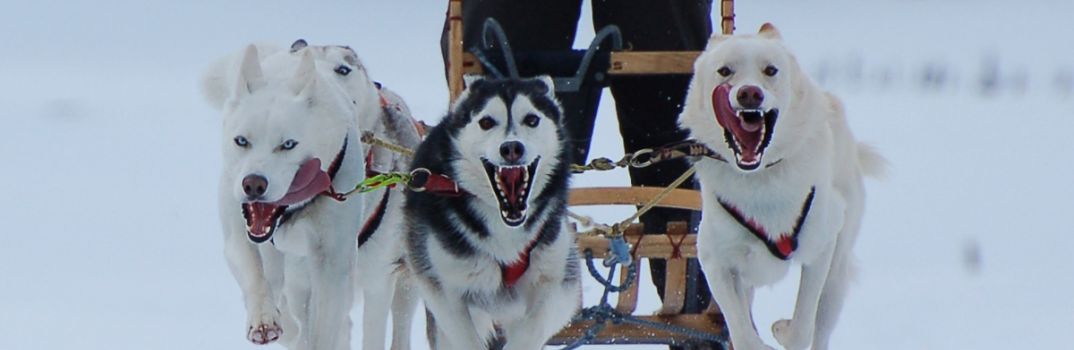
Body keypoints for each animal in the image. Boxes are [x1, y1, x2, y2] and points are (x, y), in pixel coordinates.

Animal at [201, 41, 418, 350]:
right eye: (241, 141)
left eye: (288, 144)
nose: (254, 184)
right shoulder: (241, 236)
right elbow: (256, 275)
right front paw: (264, 318)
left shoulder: (337, 262)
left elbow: (328, 327)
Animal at [405, 75, 584, 347]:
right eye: (486, 122)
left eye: (532, 119)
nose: (511, 148)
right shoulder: (444, 291)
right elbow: (465, 338)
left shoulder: (558, 281)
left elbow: (533, 329)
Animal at [678, 23, 880, 347]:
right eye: (725, 71)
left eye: (770, 70)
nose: (749, 93)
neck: (760, 180)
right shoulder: (716, 260)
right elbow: (742, 334)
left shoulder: (819, 249)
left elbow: (801, 328)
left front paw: (784, 331)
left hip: (836, 274)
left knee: (821, 326)